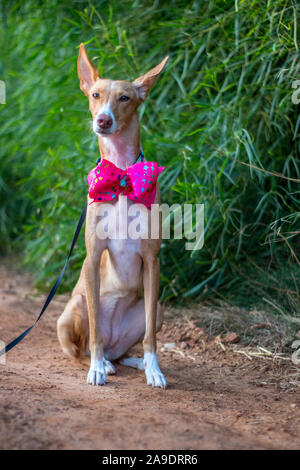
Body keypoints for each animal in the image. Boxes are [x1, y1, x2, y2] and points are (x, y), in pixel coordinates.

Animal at [56, 45, 169, 390]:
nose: (102, 120)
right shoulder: (93, 257)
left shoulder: (152, 260)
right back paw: (102, 363)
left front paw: (154, 369)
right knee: (82, 350)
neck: (119, 176)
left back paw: (133, 362)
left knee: (127, 348)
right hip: (70, 312)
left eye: (124, 98)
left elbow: (150, 340)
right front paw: (96, 369)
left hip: (156, 310)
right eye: (95, 95)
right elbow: (93, 332)